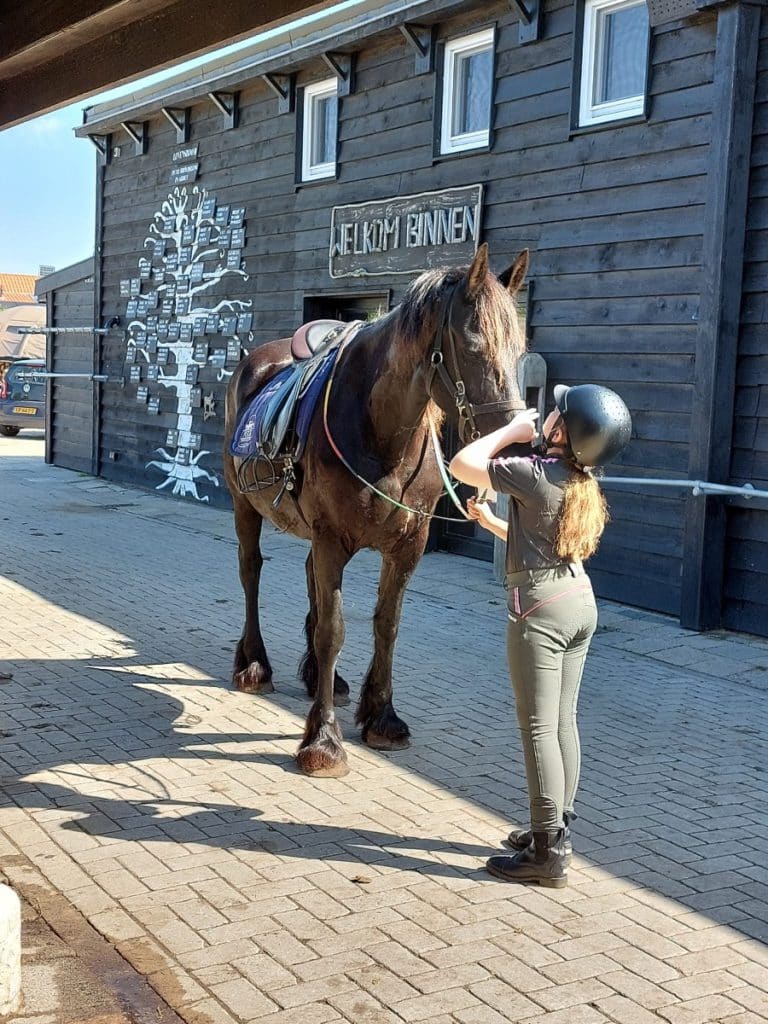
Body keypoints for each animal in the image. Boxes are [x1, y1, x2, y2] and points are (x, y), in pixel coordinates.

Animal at [223, 243, 528, 778]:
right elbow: (333, 629)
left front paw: (382, 716)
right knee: (251, 572)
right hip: (245, 507)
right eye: (474, 347)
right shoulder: (332, 538)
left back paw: (320, 677)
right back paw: (254, 664)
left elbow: (387, 624)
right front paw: (322, 740)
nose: (513, 447)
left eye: (520, 351)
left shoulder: (409, 545)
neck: (379, 429)